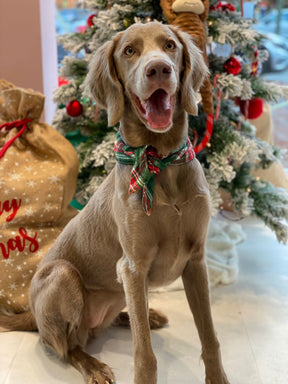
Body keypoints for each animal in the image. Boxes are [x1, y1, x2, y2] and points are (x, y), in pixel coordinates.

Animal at [0, 21, 230, 384]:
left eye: (170, 45)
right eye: (129, 51)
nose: (158, 69)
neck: (160, 160)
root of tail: (31, 315)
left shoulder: (195, 260)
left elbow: (209, 336)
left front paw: (218, 377)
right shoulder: (133, 267)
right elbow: (144, 354)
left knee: (119, 320)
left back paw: (145, 316)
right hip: (62, 276)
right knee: (65, 345)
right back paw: (94, 365)